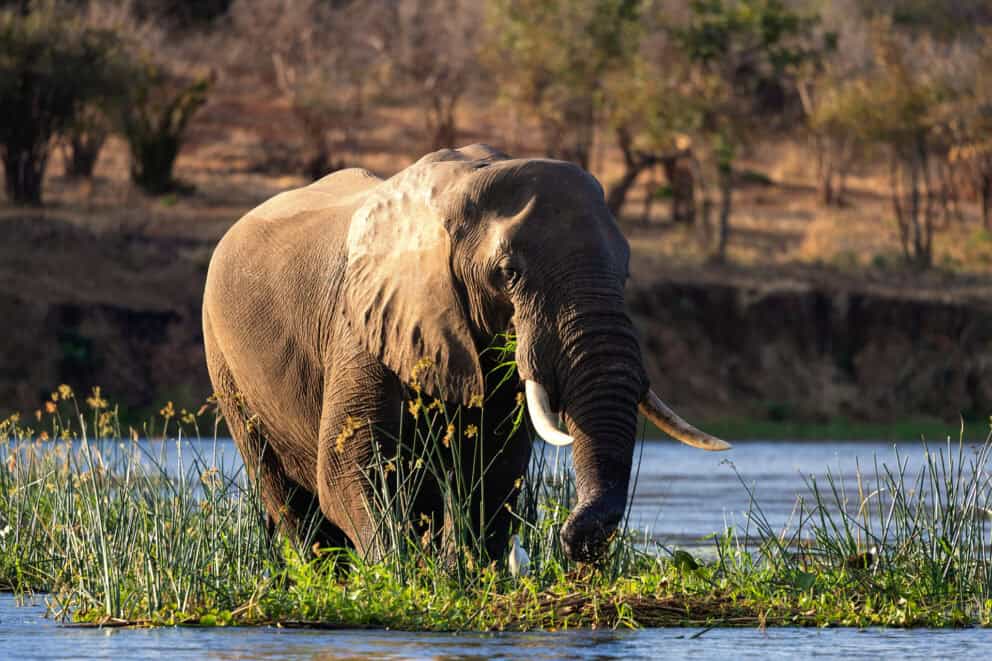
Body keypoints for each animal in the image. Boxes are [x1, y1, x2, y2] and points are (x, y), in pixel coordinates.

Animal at [202, 144, 729, 564]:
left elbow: (495, 471)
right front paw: (404, 575)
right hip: (224, 360)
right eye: (510, 272)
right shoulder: (361, 324)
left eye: (625, 274)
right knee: (288, 500)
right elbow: (352, 466)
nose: (573, 542)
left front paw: (466, 578)